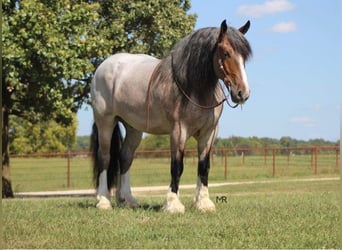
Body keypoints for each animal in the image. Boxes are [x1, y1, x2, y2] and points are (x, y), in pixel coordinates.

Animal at [90, 19, 251, 213]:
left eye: (244, 57)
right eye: (226, 53)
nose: (242, 93)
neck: (193, 87)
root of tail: (103, 66)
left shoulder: (209, 132)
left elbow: (204, 166)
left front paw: (203, 202)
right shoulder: (178, 131)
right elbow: (177, 166)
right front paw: (173, 203)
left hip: (133, 128)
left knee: (125, 157)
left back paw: (127, 200)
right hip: (105, 122)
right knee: (104, 158)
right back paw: (103, 200)